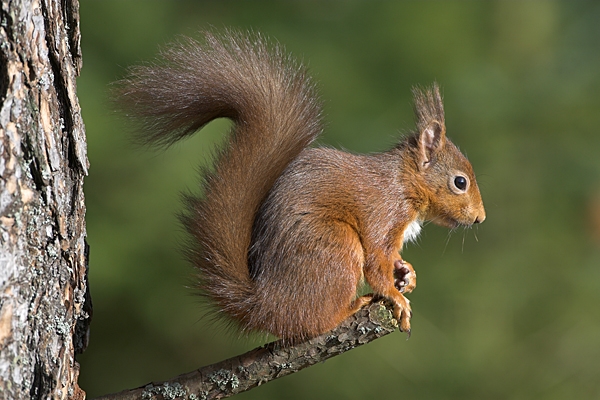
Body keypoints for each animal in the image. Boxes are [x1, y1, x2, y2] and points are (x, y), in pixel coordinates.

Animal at [116, 31, 482, 342]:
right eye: (460, 182)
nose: (480, 219)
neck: (404, 182)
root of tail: (268, 305)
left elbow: (393, 260)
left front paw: (407, 273)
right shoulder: (383, 212)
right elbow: (377, 262)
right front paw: (395, 297)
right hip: (336, 248)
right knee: (313, 323)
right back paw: (353, 305)